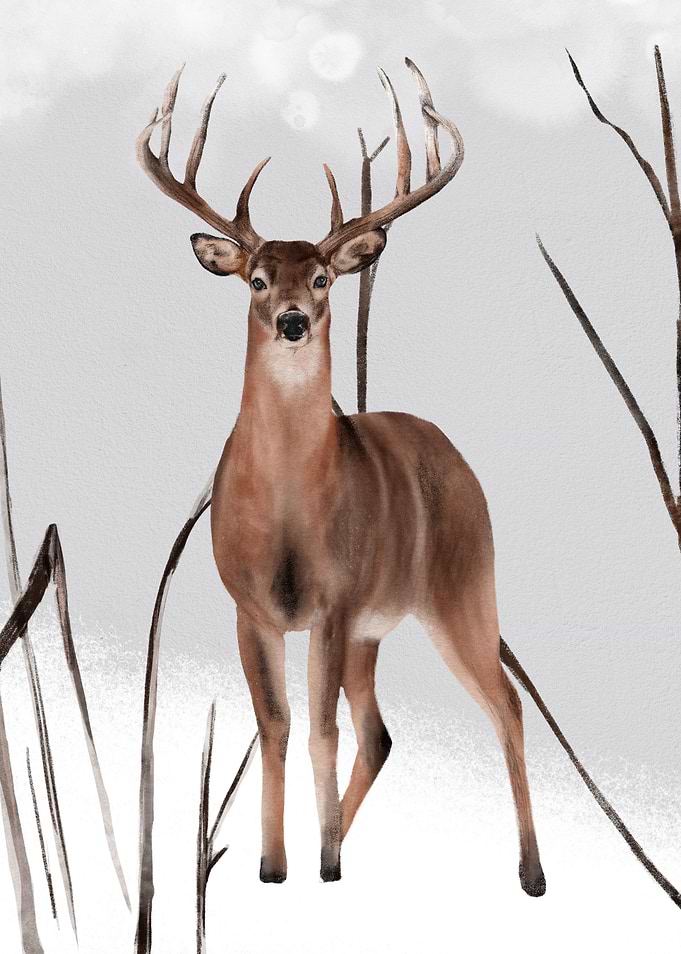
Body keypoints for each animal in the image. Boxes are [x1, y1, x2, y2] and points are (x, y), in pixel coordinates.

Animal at [136, 57, 546, 898]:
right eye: (256, 279)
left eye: (324, 277)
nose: (293, 319)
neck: (289, 511)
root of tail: (452, 450)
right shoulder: (250, 605)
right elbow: (278, 723)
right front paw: (273, 864)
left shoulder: (333, 600)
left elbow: (318, 727)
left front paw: (310, 859)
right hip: (375, 627)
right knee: (380, 730)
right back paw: (337, 844)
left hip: (463, 585)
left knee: (505, 703)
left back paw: (526, 873)